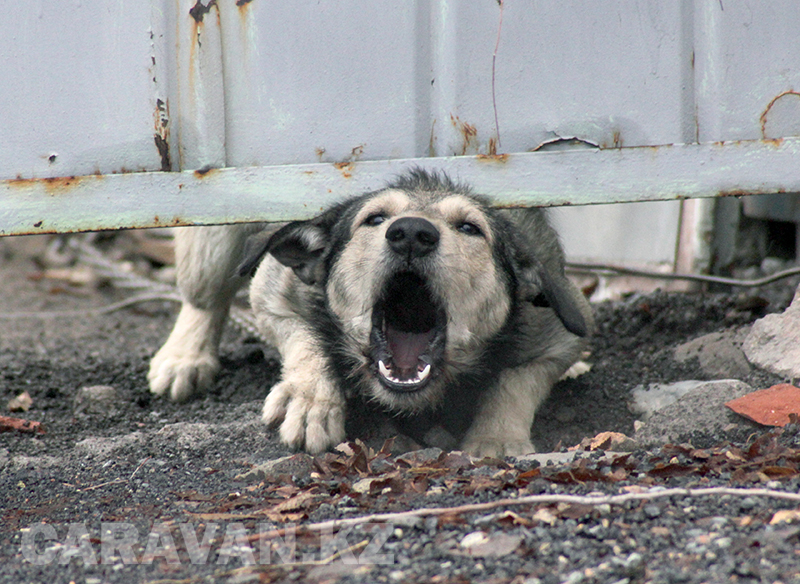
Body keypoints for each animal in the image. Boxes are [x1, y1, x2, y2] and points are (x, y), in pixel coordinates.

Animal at [147, 171, 592, 458]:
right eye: (375, 219)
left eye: (470, 228)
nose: (411, 232)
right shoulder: (274, 294)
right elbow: (308, 339)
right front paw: (309, 398)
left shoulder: (562, 332)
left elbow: (516, 379)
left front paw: (496, 436)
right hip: (213, 231)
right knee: (204, 296)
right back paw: (184, 356)